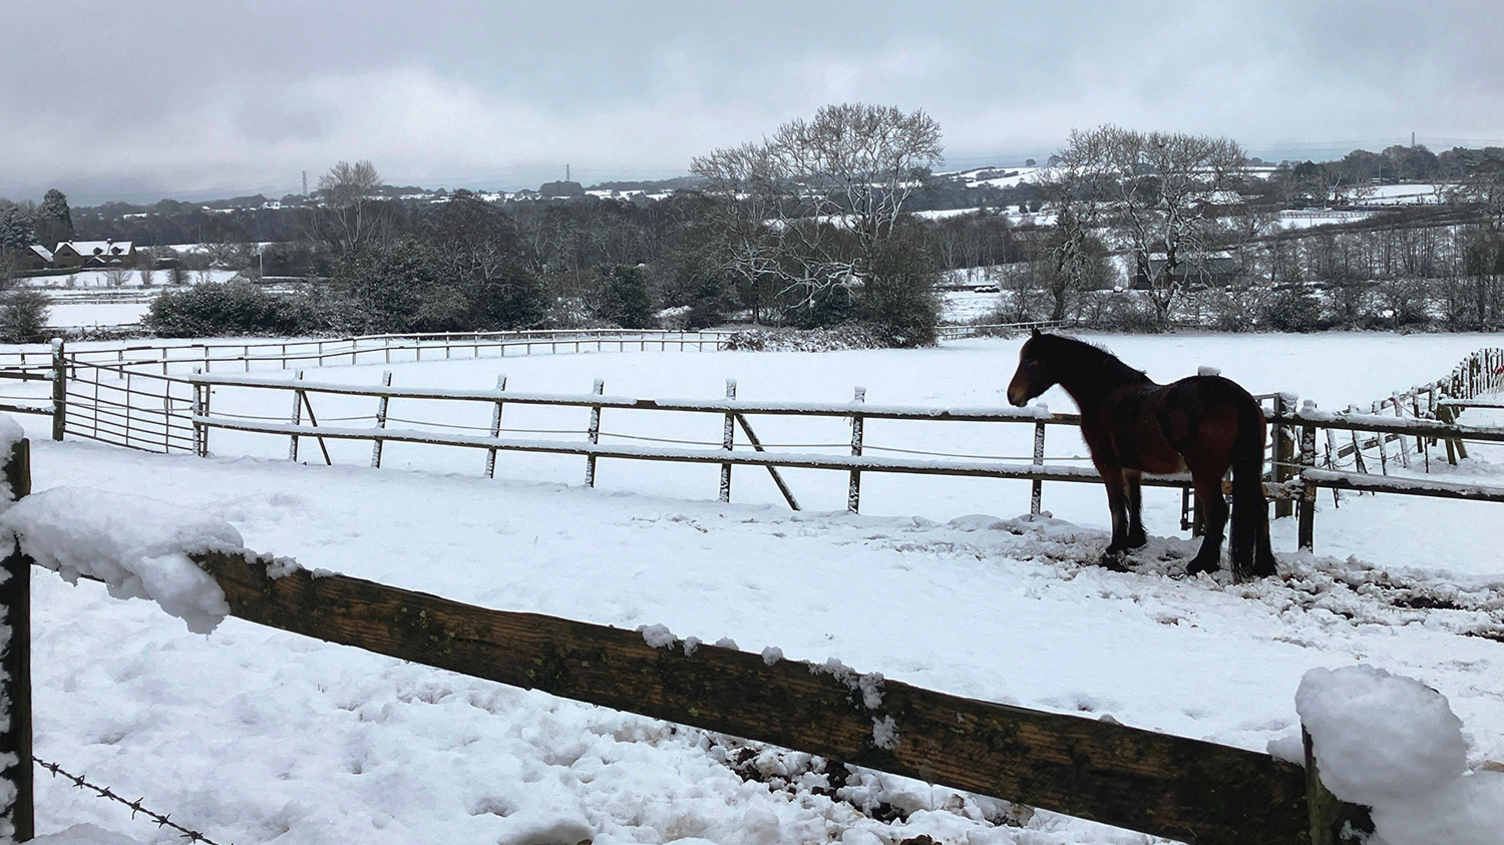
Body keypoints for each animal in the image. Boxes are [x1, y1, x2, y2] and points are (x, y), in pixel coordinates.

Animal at [1004, 332, 1275, 574]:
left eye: (1030, 360)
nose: (1011, 395)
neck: (1105, 392)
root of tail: (1237, 396)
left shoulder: (1107, 464)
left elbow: (1116, 503)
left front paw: (1115, 547)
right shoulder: (1132, 467)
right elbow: (1134, 500)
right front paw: (1135, 540)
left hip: (1205, 474)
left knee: (1218, 513)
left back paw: (1201, 564)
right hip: (1247, 469)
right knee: (1260, 507)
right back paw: (1264, 565)